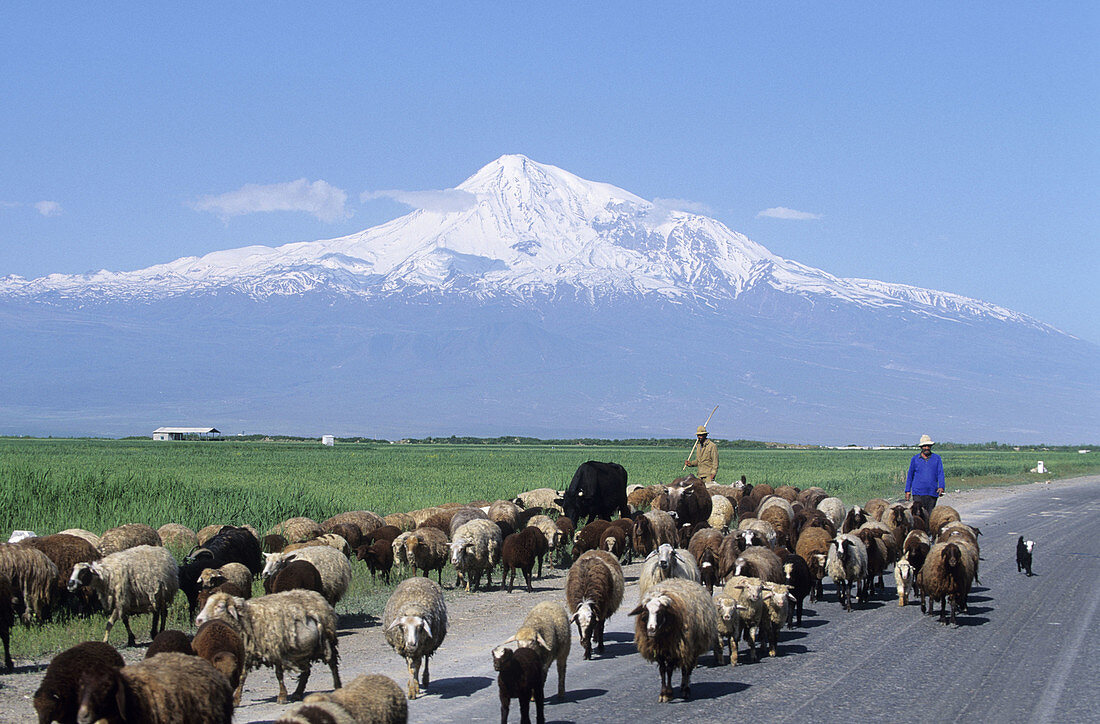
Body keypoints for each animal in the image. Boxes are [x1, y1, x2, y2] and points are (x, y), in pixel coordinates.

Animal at [194, 589, 338, 704]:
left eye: (219, 606)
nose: (198, 620)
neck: (247, 619)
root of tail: (315, 594)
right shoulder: (246, 652)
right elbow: (242, 676)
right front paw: (236, 699)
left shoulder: (276, 650)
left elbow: (279, 675)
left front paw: (282, 697)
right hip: (302, 651)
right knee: (306, 671)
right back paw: (297, 693)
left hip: (327, 640)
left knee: (332, 664)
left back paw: (337, 686)